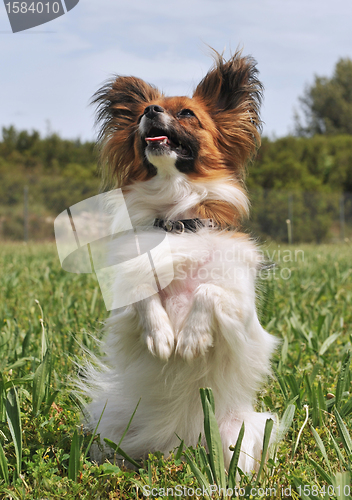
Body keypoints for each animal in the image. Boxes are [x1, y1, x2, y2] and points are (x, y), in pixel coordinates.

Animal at [82, 49, 278, 472]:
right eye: (142, 113)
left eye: (188, 114)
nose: (150, 111)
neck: (177, 224)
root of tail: (179, 442)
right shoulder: (124, 309)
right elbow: (143, 292)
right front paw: (161, 335)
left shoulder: (242, 317)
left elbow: (207, 290)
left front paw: (190, 339)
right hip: (116, 429)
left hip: (244, 431)